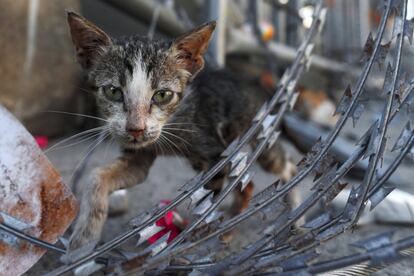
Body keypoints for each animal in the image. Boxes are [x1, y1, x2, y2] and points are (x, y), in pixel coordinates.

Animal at [66, 11, 296, 251]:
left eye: (162, 95)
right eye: (113, 91)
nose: (136, 129)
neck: (171, 125)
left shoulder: (215, 154)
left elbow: (206, 202)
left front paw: (192, 239)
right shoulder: (139, 158)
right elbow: (96, 176)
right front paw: (84, 237)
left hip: (257, 134)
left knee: (286, 165)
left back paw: (294, 215)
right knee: (247, 182)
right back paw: (231, 223)